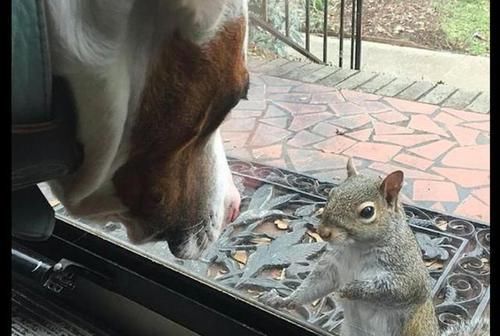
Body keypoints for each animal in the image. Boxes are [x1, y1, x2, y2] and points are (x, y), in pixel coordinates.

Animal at [260, 158, 490, 336]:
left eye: (368, 212)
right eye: (331, 193)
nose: (323, 232)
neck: (355, 248)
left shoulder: (407, 271)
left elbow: (397, 288)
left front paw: (351, 289)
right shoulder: (332, 266)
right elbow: (314, 285)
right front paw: (284, 300)